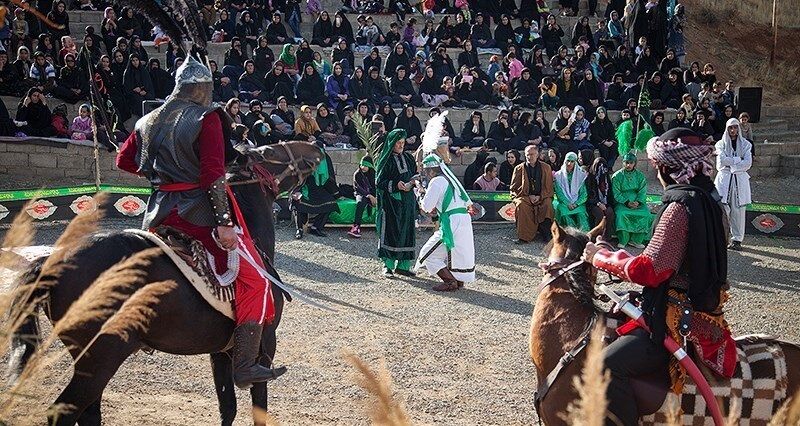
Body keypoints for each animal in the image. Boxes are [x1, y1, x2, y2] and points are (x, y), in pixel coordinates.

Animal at [7, 141, 324, 424]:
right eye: (268, 151)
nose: (315, 147)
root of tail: (50, 263)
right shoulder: (264, 347)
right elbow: (258, 409)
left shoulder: (220, 352)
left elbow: (228, 409)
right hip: (100, 360)